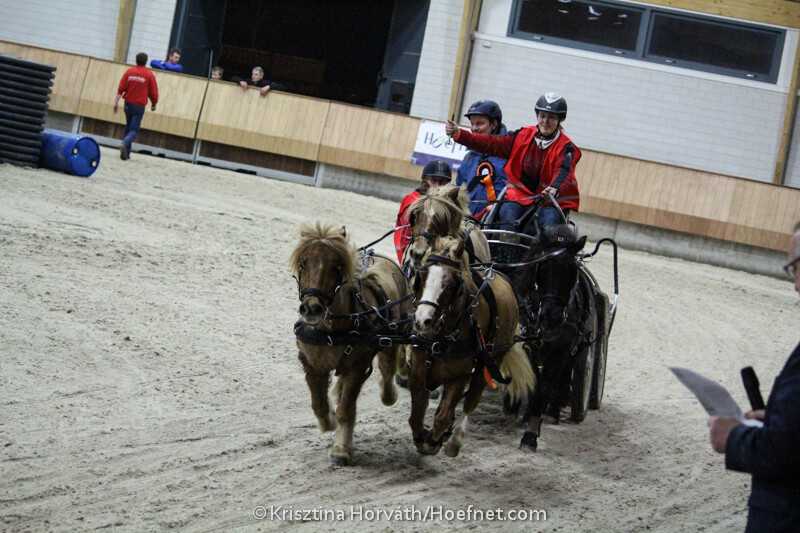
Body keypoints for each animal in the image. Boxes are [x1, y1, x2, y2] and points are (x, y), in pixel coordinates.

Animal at [290, 221, 413, 465]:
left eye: (335, 266)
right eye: (303, 263)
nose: (312, 308)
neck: (332, 330)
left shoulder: (358, 367)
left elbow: (346, 409)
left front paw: (341, 449)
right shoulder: (311, 364)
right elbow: (319, 404)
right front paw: (328, 421)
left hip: (394, 334)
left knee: (388, 367)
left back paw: (391, 392)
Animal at [408, 235, 535, 457]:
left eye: (451, 285)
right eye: (421, 277)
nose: (423, 320)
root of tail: (501, 275)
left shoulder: (460, 375)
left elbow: (443, 416)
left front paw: (433, 442)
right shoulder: (418, 370)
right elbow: (416, 414)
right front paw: (421, 437)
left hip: (491, 360)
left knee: (471, 400)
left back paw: (454, 440)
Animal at [510, 223, 601, 451]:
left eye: (572, 271)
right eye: (541, 268)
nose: (551, 319)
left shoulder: (561, 350)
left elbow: (547, 386)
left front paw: (531, 434)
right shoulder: (528, 346)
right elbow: (536, 383)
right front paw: (527, 420)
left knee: (562, 378)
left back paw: (553, 413)